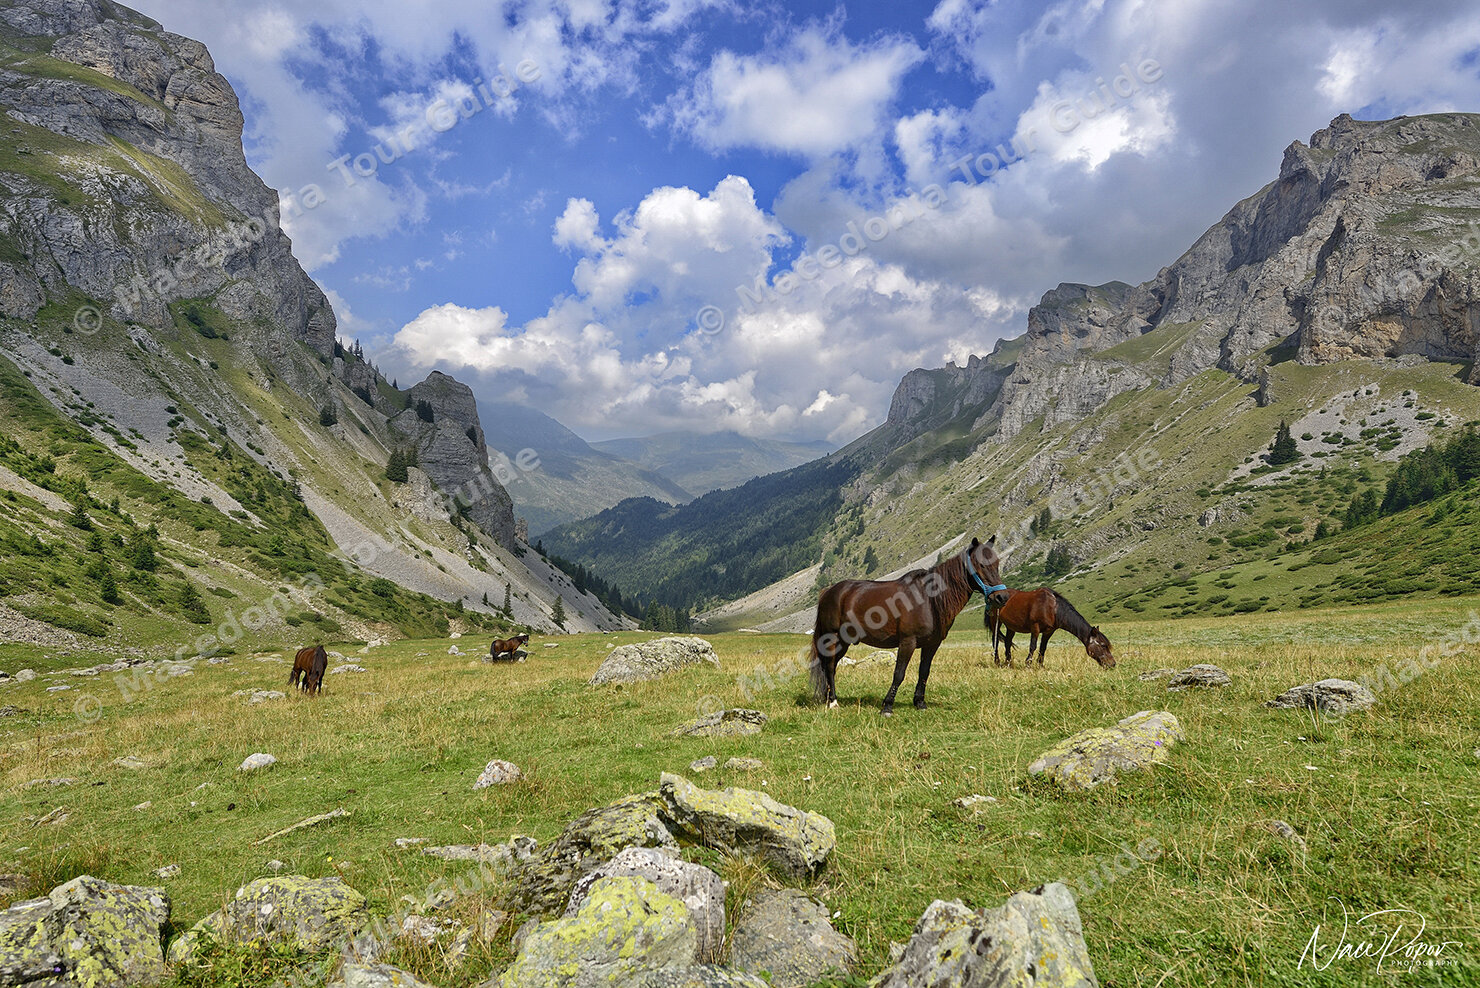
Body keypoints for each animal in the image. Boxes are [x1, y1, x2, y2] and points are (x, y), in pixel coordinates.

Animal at [810, 536, 1005, 715]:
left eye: (997, 563)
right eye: (981, 565)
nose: (1001, 597)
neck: (928, 601)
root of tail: (829, 591)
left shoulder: (932, 644)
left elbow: (924, 672)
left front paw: (920, 702)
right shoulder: (907, 642)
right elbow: (899, 673)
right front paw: (887, 706)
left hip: (844, 642)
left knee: (831, 666)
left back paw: (829, 698)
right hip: (833, 637)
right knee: (829, 666)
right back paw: (833, 702)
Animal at [986, 588, 1114, 669]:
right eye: (1103, 645)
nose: (1113, 664)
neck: (1053, 608)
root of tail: (993, 594)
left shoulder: (1049, 631)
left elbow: (1043, 648)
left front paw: (1040, 665)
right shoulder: (1035, 628)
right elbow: (1033, 646)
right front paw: (1028, 664)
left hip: (1010, 627)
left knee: (1007, 643)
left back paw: (1008, 663)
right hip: (995, 622)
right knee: (995, 641)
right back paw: (997, 662)